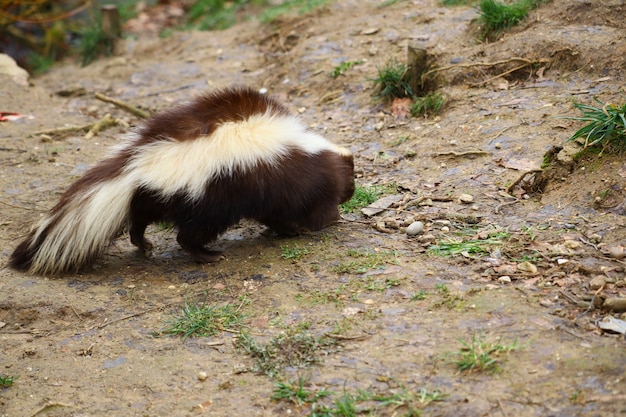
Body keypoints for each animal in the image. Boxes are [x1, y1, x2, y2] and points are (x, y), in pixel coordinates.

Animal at [9, 85, 354, 274]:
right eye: (352, 178)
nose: (350, 193)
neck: (309, 149)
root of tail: (138, 160)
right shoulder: (283, 179)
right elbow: (293, 209)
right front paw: (307, 226)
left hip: (158, 192)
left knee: (139, 218)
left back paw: (143, 244)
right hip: (208, 195)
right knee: (188, 234)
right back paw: (208, 256)